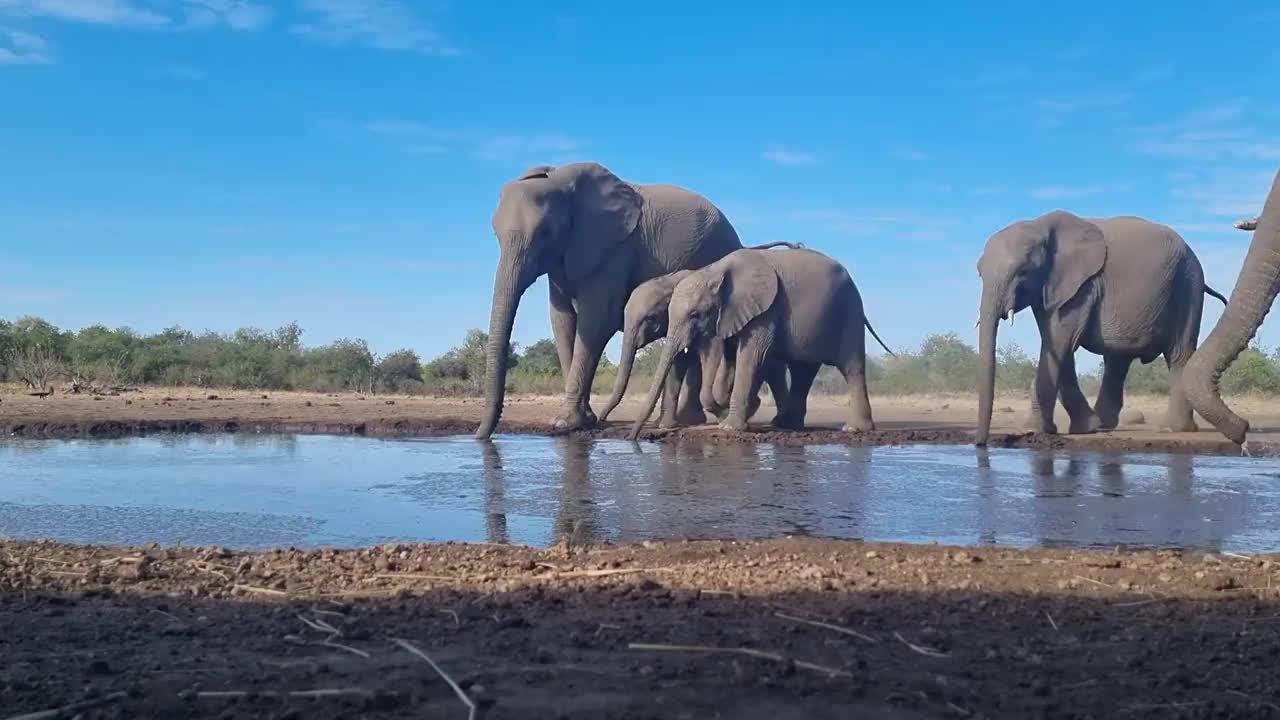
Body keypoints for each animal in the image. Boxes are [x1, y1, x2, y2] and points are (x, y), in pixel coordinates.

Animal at [476, 162, 747, 438]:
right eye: (495, 234)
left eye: (546, 232)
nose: (480, 436)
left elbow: (596, 321)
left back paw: (688, 420)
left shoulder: (616, 251)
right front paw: (583, 420)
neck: (561, 181)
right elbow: (562, 322)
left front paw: (566, 423)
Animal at [627, 245, 890, 438]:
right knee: (802, 371)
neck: (714, 270)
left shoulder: (765, 311)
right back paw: (786, 424)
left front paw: (729, 426)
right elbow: (730, 357)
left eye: (696, 314)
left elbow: (750, 356)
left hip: (849, 312)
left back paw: (854, 429)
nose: (633, 438)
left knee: (851, 367)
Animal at [967, 207, 1228, 445]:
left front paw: (1034, 430)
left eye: (1023, 271)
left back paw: (1173, 429)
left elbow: (1060, 341)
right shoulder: (1052, 287)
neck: (1040, 225)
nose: (980, 444)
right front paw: (1084, 428)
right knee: (1117, 361)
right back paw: (1104, 426)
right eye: (979, 273)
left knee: (1178, 355)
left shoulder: (1083, 286)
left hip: (1188, 284)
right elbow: (1056, 344)